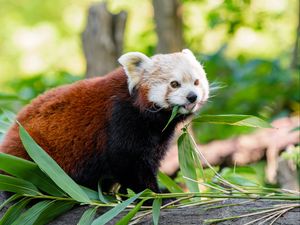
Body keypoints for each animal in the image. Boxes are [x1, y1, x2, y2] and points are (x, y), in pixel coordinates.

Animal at [0, 49, 210, 193]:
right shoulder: (121, 118)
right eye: (174, 84)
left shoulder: (157, 136)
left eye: (196, 82)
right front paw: (151, 195)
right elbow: (127, 162)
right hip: (31, 152)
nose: (192, 96)